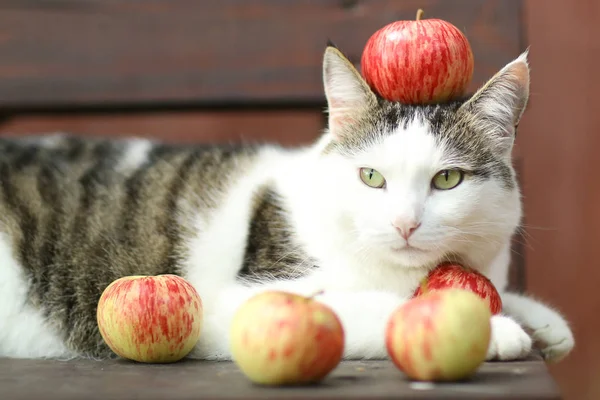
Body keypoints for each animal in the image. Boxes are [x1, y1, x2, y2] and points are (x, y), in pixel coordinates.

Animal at [0, 45, 576, 364]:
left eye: (448, 179)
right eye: (371, 177)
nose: (405, 224)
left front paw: (542, 320)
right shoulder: (239, 301)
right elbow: (370, 308)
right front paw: (491, 327)